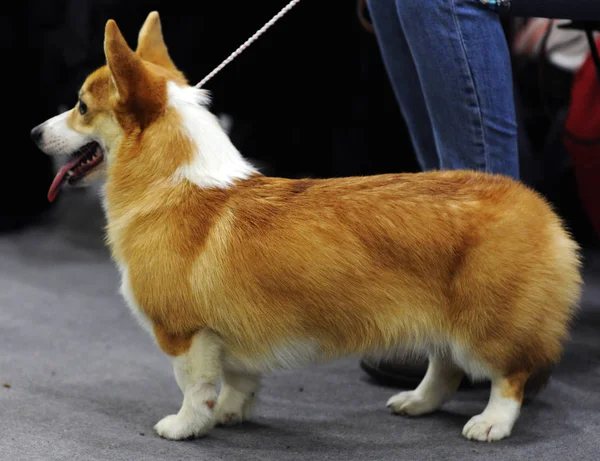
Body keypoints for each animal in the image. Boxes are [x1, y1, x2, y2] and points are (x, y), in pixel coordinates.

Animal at [30, 11, 584, 442]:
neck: (173, 182)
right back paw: (416, 401)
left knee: (509, 375)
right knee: (445, 367)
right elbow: (238, 379)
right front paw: (231, 413)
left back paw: (491, 423)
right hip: (443, 322)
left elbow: (194, 387)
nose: (33, 132)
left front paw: (185, 427)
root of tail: (541, 209)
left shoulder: (184, 333)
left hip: (483, 322)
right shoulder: (232, 332)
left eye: (81, 107)